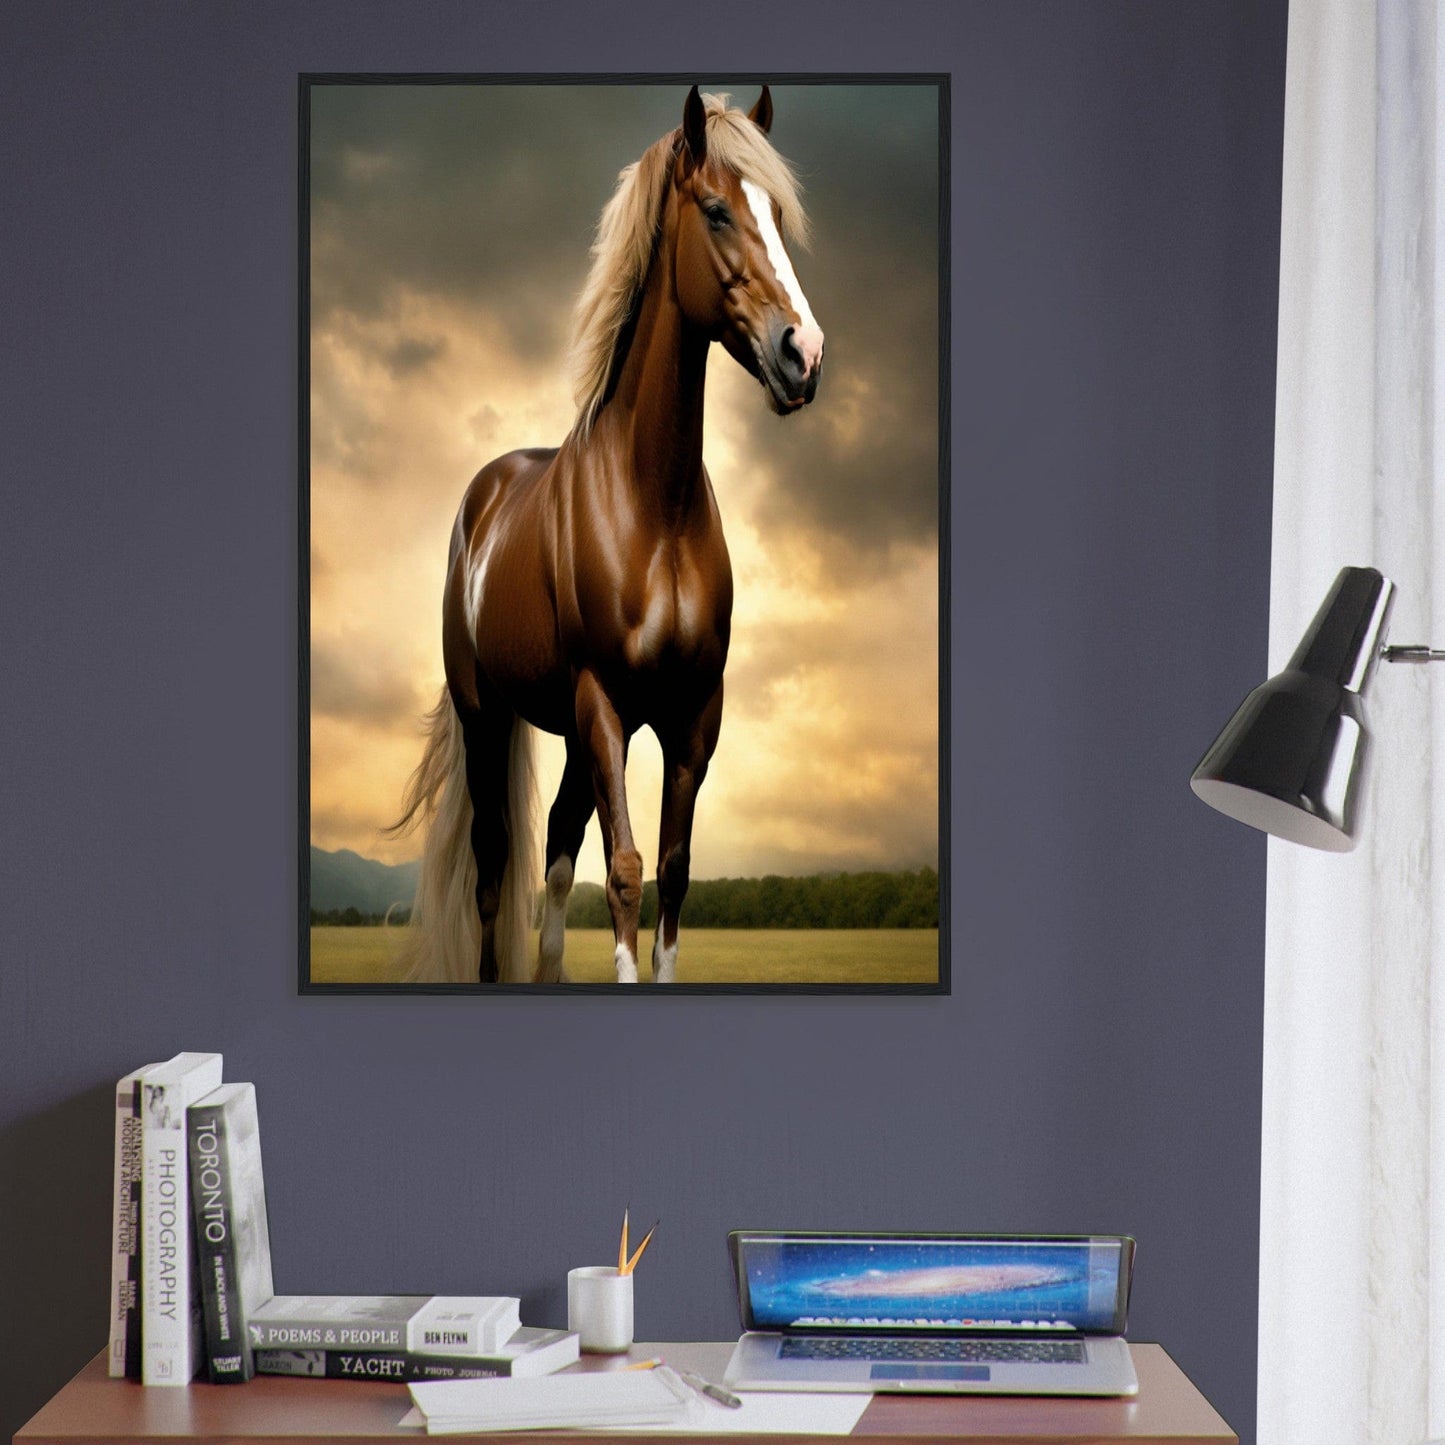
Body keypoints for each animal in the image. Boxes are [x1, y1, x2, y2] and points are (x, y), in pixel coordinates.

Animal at [390, 86, 825, 984]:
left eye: (775, 212)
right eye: (717, 211)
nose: (804, 354)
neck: (652, 506)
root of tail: (481, 496)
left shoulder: (693, 716)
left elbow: (672, 871)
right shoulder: (607, 704)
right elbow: (623, 871)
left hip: (569, 732)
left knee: (556, 846)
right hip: (492, 716)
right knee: (493, 868)